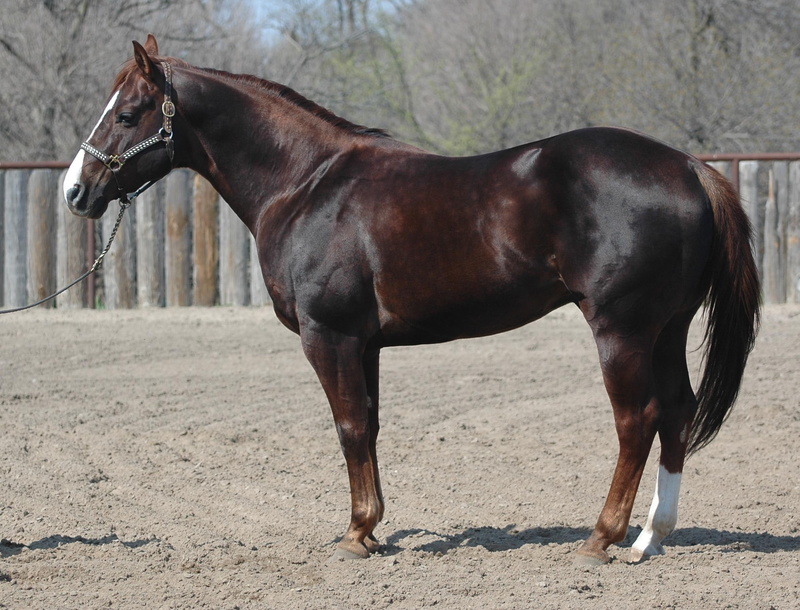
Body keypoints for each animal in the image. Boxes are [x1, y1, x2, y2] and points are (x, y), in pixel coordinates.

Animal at [62, 36, 760, 565]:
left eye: (127, 115)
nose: (75, 191)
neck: (306, 184)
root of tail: (689, 167)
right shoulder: (364, 343)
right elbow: (369, 425)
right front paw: (371, 529)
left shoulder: (329, 335)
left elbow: (348, 427)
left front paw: (354, 535)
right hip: (666, 330)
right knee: (677, 413)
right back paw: (649, 539)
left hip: (622, 330)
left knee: (637, 420)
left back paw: (600, 539)